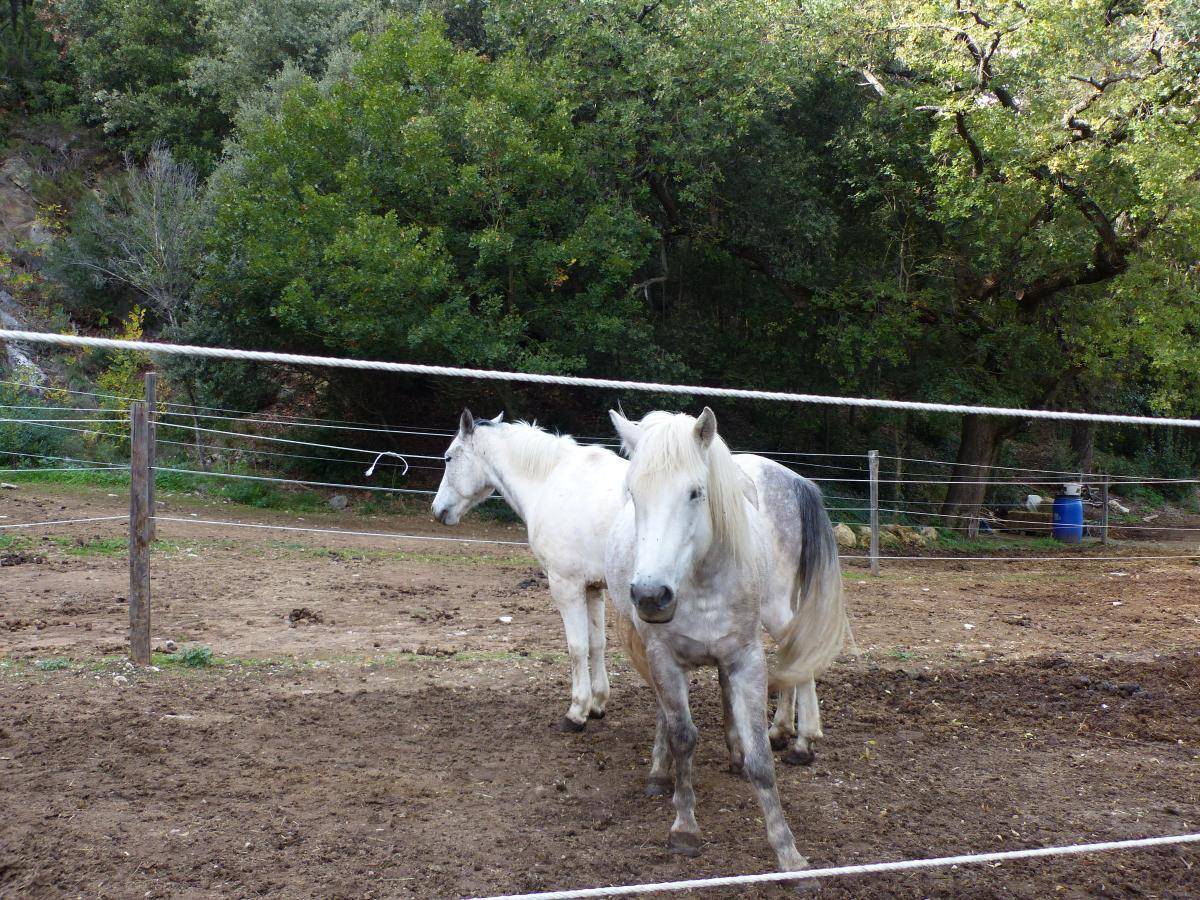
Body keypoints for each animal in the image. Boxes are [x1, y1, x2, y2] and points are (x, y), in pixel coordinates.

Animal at [434, 410, 844, 763]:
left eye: (449, 458)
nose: (439, 512)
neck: (552, 482)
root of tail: (793, 482)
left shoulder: (566, 586)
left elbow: (576, 648)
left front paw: (576, 712)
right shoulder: (593, 589)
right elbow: (596, 644)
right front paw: (598, 704)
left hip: (771, 604)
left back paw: (803, 742)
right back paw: (779, 732)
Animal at [604, 408, 849, 868]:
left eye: (695, 493)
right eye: (633, 493)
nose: (651, 595)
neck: (700, 581)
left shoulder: (745, 658)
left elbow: (761, 759)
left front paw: (789, 853)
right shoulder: (663, 656)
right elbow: (683, 736)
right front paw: (685, 826)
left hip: (775, 609)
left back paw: (796, 740)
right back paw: (664, 770)